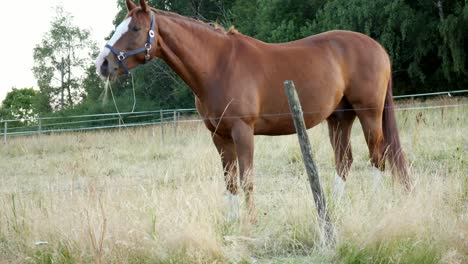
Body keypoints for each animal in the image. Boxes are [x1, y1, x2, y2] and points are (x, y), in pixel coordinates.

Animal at [96, 0, 410, 222]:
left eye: (134, 29)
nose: (103, 64)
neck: (218, 65)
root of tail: (378, 48)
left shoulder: (242, 131)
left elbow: (246, 179)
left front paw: (251, 222)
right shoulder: (219, 136)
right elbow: (230, 181)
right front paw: (233, 221)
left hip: (368, 113)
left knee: (377, 157)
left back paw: (374, 204)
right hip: (340, 117)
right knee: (344, 161)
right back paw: (335, 207)